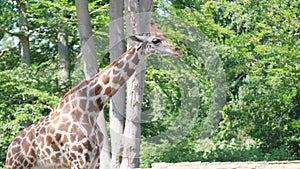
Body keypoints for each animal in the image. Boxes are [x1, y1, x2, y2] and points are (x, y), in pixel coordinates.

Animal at [5, 24, 182, 169]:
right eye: (156, 40)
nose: (178, 50)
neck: (93, 107)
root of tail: (9, 150)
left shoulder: (95, 159)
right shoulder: (79, 158)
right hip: (18, 166)